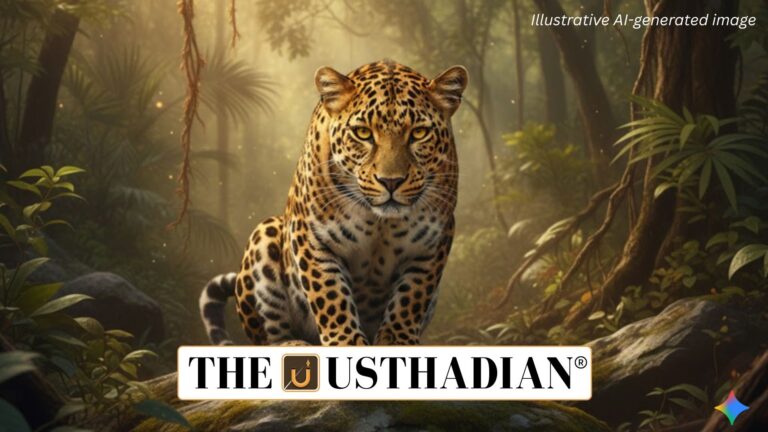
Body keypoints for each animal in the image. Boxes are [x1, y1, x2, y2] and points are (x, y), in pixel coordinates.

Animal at [199, 59, 468, 346]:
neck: (379, 221)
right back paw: (292, 344)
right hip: (265, 233)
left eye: (419, 133)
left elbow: (411, 297)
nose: (391, 181)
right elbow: (330, 295)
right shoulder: (311, 236)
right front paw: (345, 342)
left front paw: (397, 340)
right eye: (363, 133)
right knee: (267, 338)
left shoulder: (433, 243)